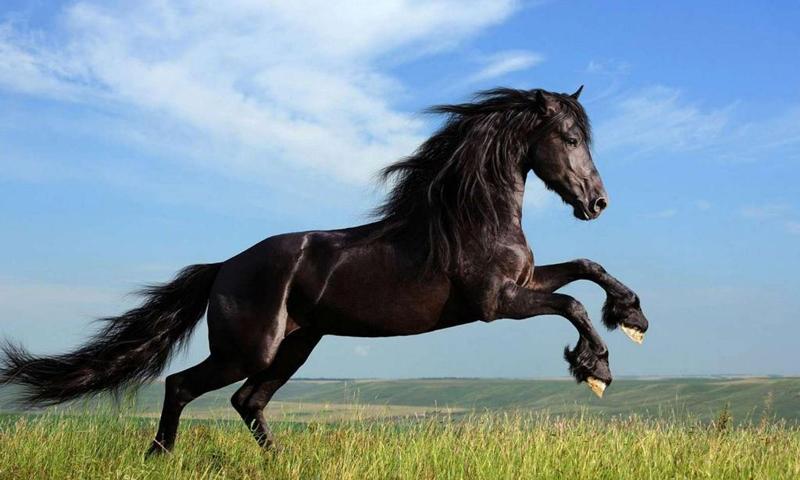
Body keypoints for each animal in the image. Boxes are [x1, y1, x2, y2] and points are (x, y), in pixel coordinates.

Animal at [0, 86, 649, 455]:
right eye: (569, 137)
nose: (597, 203)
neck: (470, 218)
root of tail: (223, 268)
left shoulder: (522, 284)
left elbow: (586, 268)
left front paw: (632, 317)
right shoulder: (497, 303)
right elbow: (571, 303)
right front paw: (596, 368)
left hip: (296, 345)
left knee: (248, 402)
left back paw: (279, 463)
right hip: (250, 348)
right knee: (184, 385)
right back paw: (158, 457)